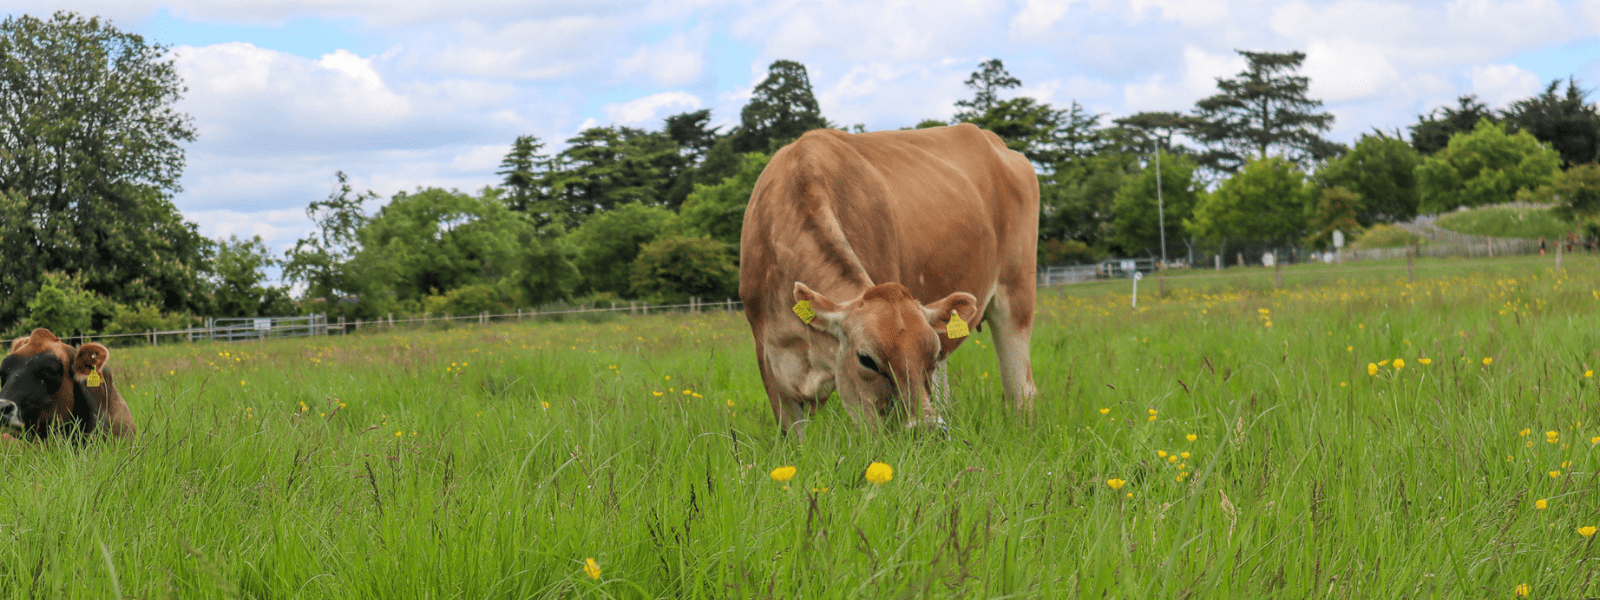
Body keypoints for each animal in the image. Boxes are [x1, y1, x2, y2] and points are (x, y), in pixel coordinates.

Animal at [742, 124, 1043, 435]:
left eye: (930, 355)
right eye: (866, 359)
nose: (929, 430)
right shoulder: (770, 363)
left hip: (1017, 293)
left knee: (1020, 389)